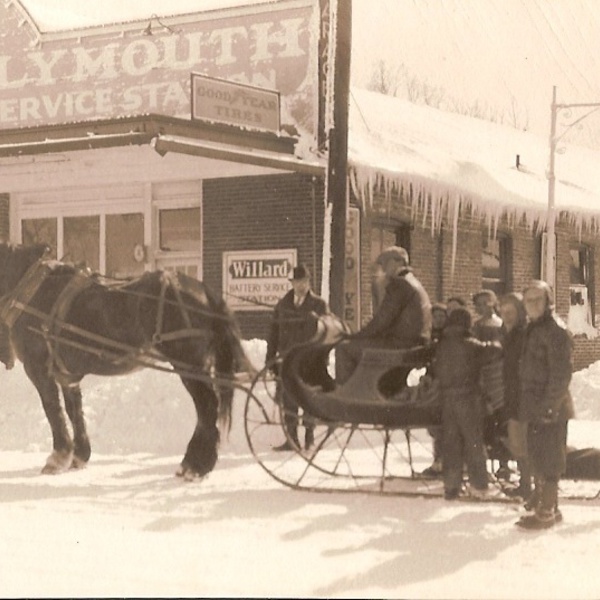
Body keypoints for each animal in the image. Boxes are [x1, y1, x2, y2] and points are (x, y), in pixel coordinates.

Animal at [0, 241, 250, 480]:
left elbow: (53, 411)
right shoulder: (67, 375)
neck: (32, 288)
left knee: (207, 408)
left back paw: (194, 466)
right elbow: (74, 411)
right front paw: (80, 455)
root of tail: (205, 292)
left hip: (188, 364)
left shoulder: (38, 369)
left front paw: (58, 458)